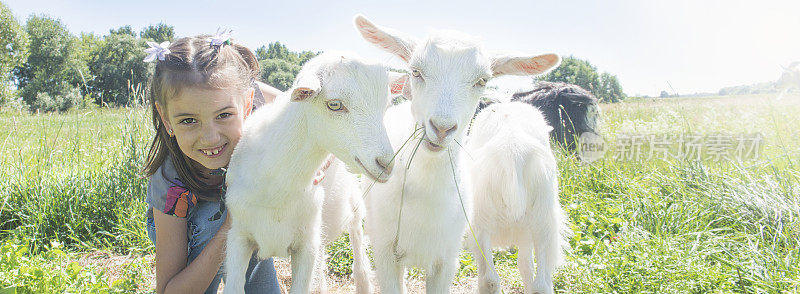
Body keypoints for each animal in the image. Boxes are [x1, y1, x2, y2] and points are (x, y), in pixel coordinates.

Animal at [223, 52, 398, 294]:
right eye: (334, 104)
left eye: (387, 105)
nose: (386, 164)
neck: (277, 193)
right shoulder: (238, 236)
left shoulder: (306, 246)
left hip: (352, 200)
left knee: (356, 234)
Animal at [468, 101, 568, 294]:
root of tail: (512, 150)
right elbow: (526, 265)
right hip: (542, 218)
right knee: (540, 282)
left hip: (485, 217)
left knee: (490, 279)